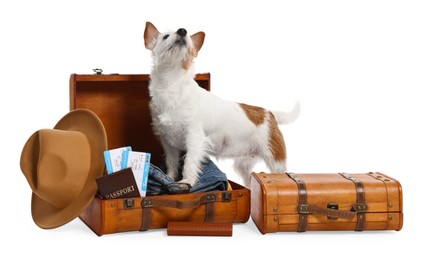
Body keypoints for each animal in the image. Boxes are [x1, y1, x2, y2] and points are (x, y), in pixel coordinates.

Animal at [142, 20, 298, 187]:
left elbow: (190, 161)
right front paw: (170, 178)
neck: (172, 84)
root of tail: (269, 113)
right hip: (245, 163)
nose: (182, 31)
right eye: (165, 36)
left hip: (274, 156)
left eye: (189, 40)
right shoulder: (168, 142)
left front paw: (187, 181)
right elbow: (171, 162)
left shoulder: (195, 138)